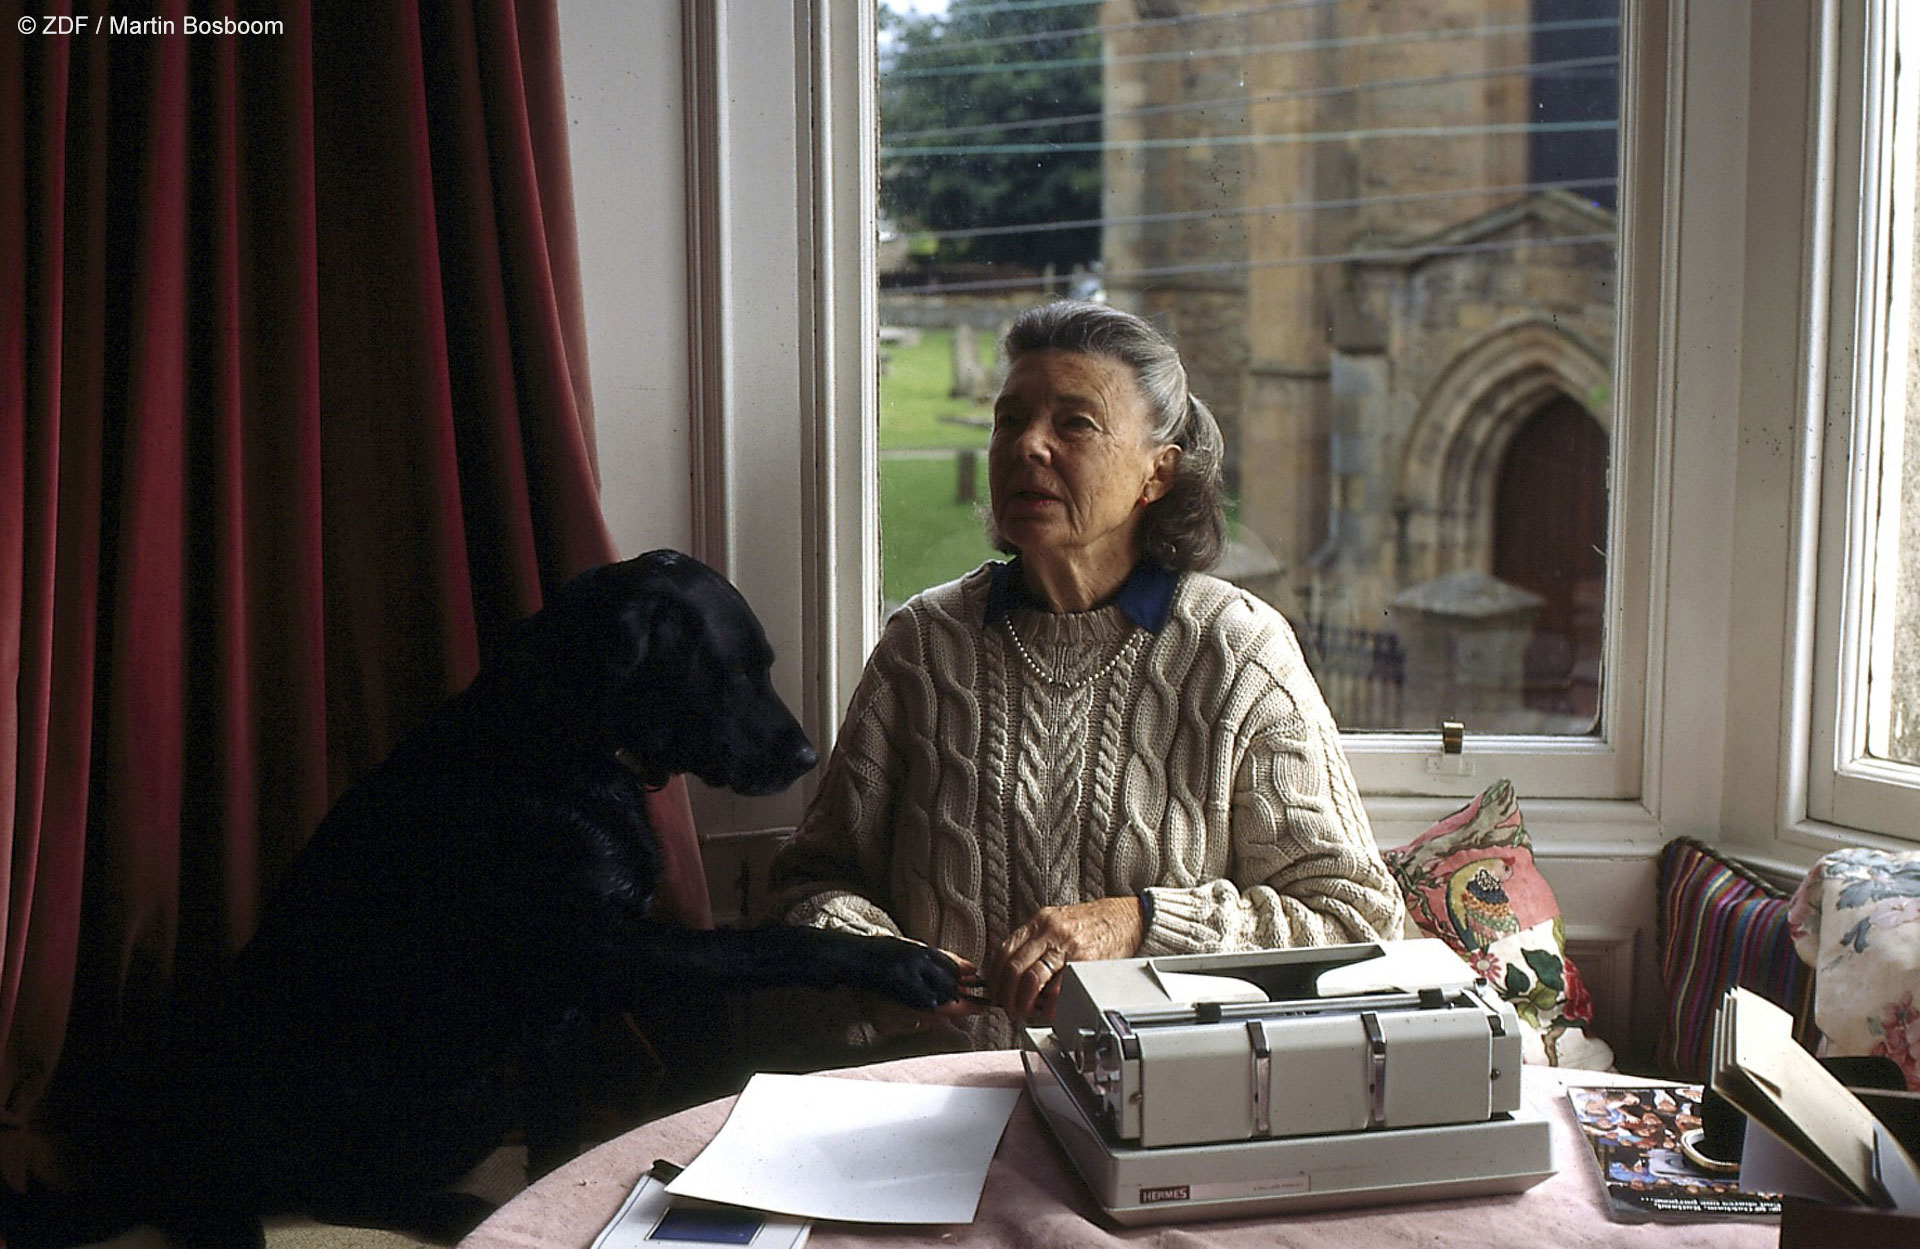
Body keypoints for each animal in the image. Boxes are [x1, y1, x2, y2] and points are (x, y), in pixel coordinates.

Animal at [7, 556, 952, 1249]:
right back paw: (447, 1213)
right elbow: (765, 945)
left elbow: (558, 1133)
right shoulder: (606, 949)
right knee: (319, 1190)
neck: (567, 740)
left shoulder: (562, 1019)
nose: (806, 755)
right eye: (733, 673)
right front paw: (899, 963)